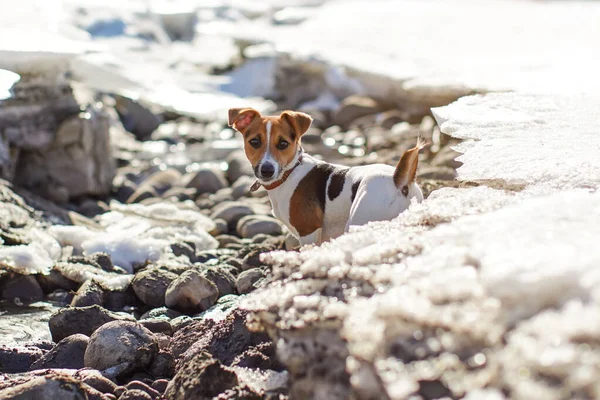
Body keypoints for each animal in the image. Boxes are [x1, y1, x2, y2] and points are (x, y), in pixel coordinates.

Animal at [226, 106, 426, 245]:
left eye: (283, 143)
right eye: (254, 142)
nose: (267, 170)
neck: (290, 172)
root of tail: (398, 181)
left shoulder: (308, 232)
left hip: (359, 220)